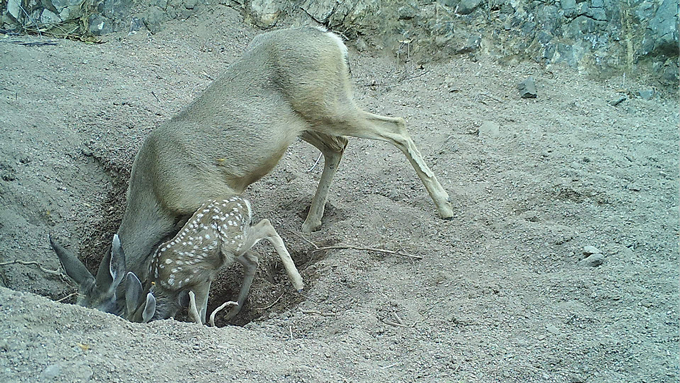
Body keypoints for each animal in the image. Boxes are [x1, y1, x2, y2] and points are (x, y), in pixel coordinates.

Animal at [50, 27, 454, 318]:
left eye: (111, 308)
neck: (157, 192)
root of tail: (333, 39)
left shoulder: (212, 194)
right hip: (307, 121)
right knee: (338, 146)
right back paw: (312, 221)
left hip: (330, 105)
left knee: (396, 125)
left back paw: (445, 206)